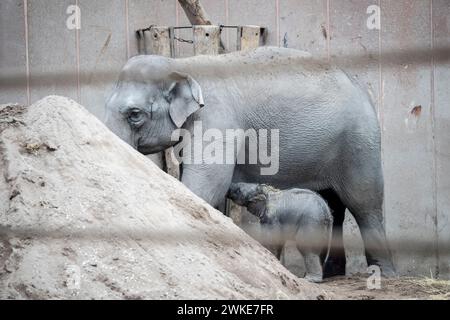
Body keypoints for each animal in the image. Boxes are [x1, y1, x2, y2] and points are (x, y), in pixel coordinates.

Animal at [103, 46, 396, 276]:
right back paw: (334, 274)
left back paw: (383, 274)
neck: (183, 64)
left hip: (359, 143)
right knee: (334, 206)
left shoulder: (217, 119)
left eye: (135, 114)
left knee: (364, 204)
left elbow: (207, 184)